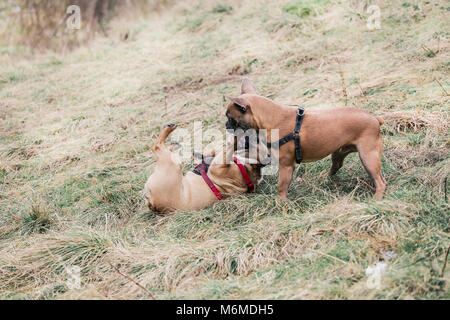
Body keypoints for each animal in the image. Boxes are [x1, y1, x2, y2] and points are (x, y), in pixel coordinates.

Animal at [225, 79, 386, 200]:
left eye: (231, 118)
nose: (226, 125)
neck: (271, 118)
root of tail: (375, 119)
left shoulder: (285, 166)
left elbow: (281, 187)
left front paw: (280, 204)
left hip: (368, 157)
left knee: (381, 181)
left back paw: (376, 198)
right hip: (339, 153)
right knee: (337, 166)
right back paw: (325, 178)